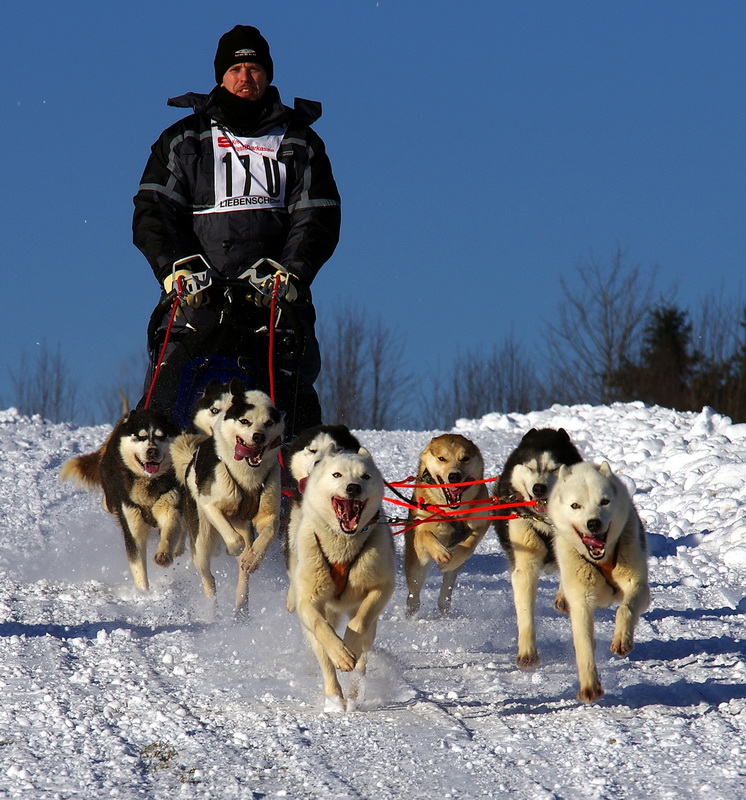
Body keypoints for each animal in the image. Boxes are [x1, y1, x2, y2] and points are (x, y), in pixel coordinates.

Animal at [58, 410, 184, 592]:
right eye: (140, 436)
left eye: (161, 436)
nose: (152, 451)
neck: (147, 483)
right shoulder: (132, 522)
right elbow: (137, 564)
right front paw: (143, 593)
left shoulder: (170, 505)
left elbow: (170, 529)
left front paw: (164, 555)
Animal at [172, 382, 284, 612]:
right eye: (245, 421)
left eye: (268, 422)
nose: (258, 436)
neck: (247, 476)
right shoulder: (210, 505)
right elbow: (234, 540)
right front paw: (234, 547)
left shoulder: (268, 515)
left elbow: (266, 533)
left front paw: (254, 558)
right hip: (201, 539)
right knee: (209, 578)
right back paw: (212, 610)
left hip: (242, 525)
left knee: (243, 575)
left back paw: (241, 604)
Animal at [290, 450, 396, 712]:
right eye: (336, 474)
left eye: (365, 476)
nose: (353, 488)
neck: (342, 545)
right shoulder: (308, 600)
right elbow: (321, 626)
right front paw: (341, 653)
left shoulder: (382, 587)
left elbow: (360, 621)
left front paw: (351, 643)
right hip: (313, 634)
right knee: (324, 657)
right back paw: (335, 698)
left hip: (370, 629)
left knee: (363, 658)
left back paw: (353, 694)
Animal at [492, 432, 584, 668]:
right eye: (531, 468)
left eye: (554, 469)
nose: (539, 488)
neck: (546, 523)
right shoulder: (525, 563)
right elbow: (525, 613)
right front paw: (527, 652)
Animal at [544, 460, 648, 704]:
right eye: (575, 505)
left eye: (604, 501)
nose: (593, 523)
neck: (602, 559)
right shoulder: (581, 603)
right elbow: (583, 644)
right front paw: (589, 686)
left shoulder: (638, 585)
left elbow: (625, 609)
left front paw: (621, 639)